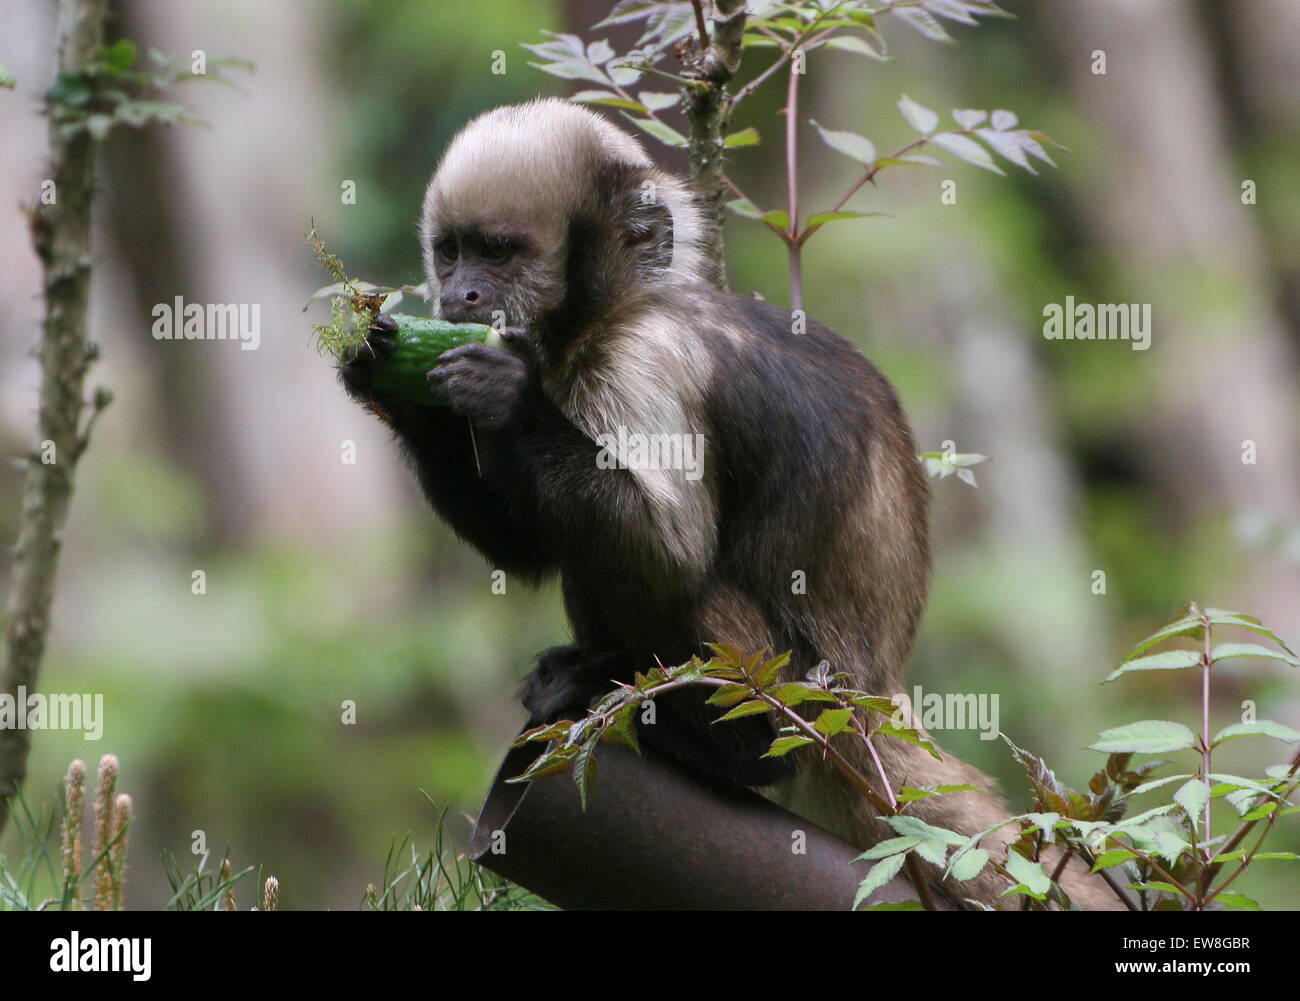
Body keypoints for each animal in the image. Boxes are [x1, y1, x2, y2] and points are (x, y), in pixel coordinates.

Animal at [338, 98, 1116, 910]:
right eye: (451, 253)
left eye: (497, 253)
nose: (457, 296)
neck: (610, 310)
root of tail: (875, 694)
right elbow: (532, 553)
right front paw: (381, 359)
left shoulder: (642, 360)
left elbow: (667, 552)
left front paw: (507, 398)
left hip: (801, 695)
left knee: (675, 582)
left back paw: (724, 748)